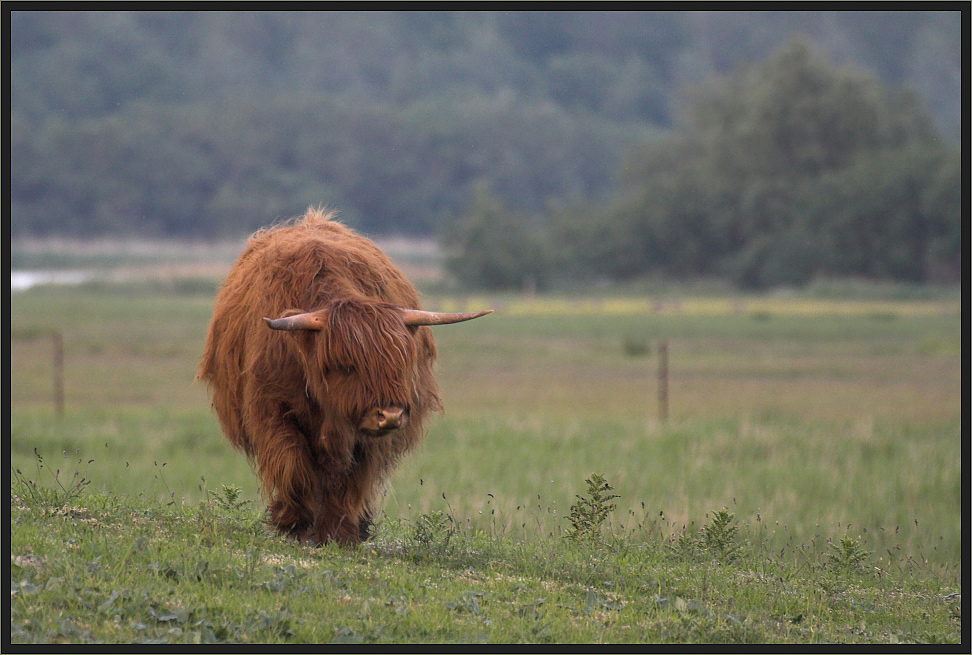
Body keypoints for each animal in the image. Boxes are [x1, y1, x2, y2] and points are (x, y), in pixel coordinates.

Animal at [197, 209, 490, 544]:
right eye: (345, 365)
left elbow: (349, 481)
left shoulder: (365, 438)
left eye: (401, 362)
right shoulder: (272, 410)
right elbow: (292, 465)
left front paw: (340, 533)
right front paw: (292, 523)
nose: (390, 415)